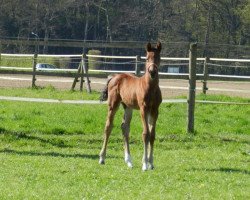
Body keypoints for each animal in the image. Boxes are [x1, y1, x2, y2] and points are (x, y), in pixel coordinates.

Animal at [98, 42, 161, 170]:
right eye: (147, 58)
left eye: (158, 57)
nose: (152, 72)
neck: (150, 88)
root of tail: (114, 77)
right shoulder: (143, 109)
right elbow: (146, 133)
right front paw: (144, 164)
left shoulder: (155, 110)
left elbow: (152, 135)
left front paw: (151, 163)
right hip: (113, 104)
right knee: (108, 126)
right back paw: (102, 158)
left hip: (128, 107)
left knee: (124, 127)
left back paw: (129, 161)